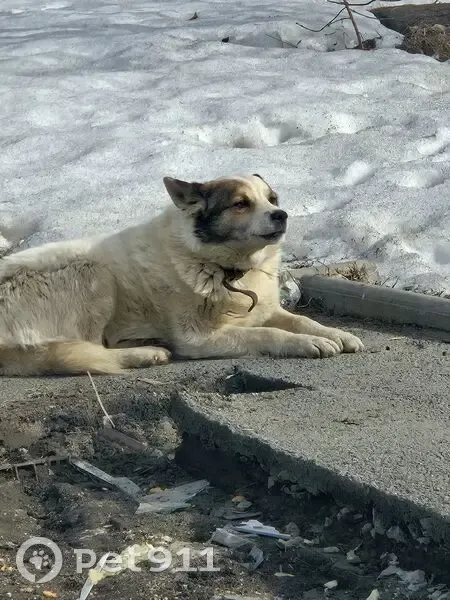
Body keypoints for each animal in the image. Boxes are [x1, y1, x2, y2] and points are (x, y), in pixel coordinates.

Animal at [0, 174, 363, 376]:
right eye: (241, 204)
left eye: (271, 199)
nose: (282, 214)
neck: (228, 271)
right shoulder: (199, 339)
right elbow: (268, 334)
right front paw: (307, 343)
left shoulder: (267, 310)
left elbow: (302, 320)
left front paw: (334, 333)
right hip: (96, 275)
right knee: (94, 349)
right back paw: (144, 353)